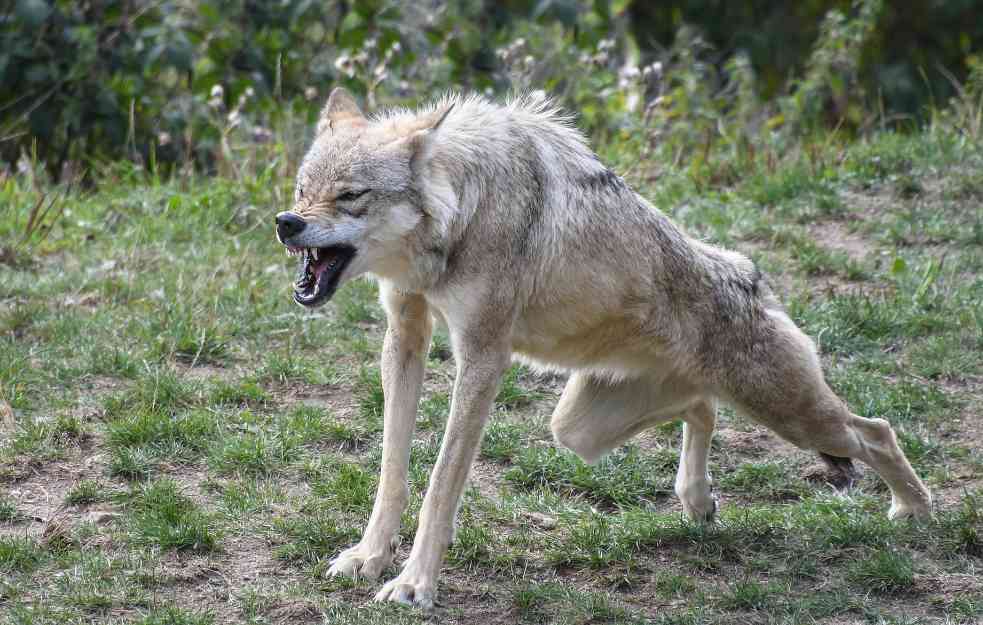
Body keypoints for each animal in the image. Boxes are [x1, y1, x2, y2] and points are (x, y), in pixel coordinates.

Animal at [272, 90, 936, 608]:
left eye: (350, 196)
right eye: (303, 190)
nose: (286, 223)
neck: (462, 210)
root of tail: (751, 274)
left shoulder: (483, 357)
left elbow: (440, 482)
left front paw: (414, 585)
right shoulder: (404, 336)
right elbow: (393, 470)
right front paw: (368, 557)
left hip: (793, 416)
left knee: (875, 431)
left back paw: (916, 512)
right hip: (579, 429)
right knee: (703, 407)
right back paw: (698, 500)